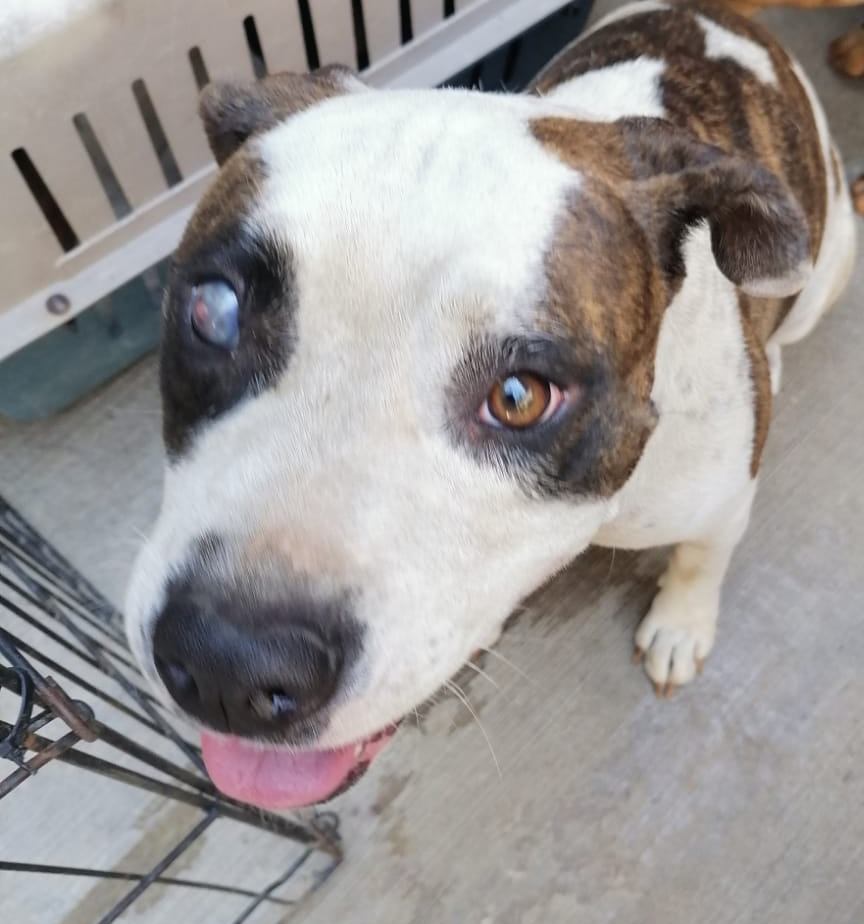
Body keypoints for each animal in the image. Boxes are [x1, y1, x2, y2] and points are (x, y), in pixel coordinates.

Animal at [125, 0, 856, 810]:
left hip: (828, 267)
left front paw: (680, 625)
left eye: (518, 397)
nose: (227, 663)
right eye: (214, 311)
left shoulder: (720, 498)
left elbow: (704, 556)